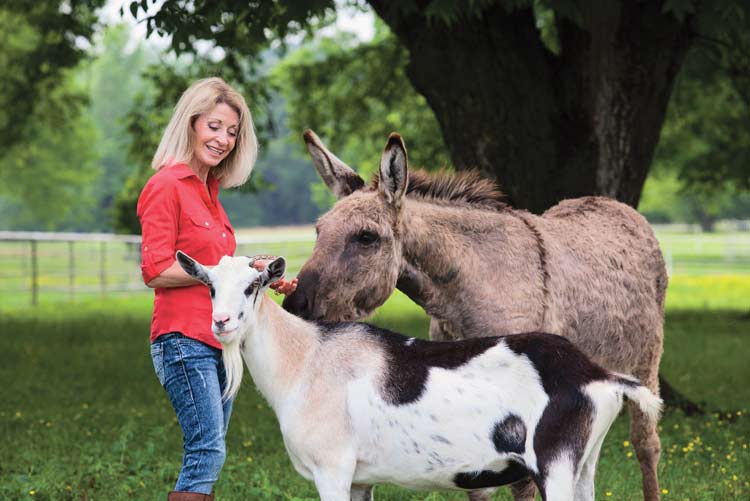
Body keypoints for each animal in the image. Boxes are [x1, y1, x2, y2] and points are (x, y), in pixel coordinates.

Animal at [178, 252, 664, 500]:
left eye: (252, 286)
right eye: (209, 286)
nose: (221, 323)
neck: (306, 360)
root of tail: (598, 375)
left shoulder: (332, 469)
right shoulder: (360, 478)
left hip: (556, 462)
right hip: (584, 463)